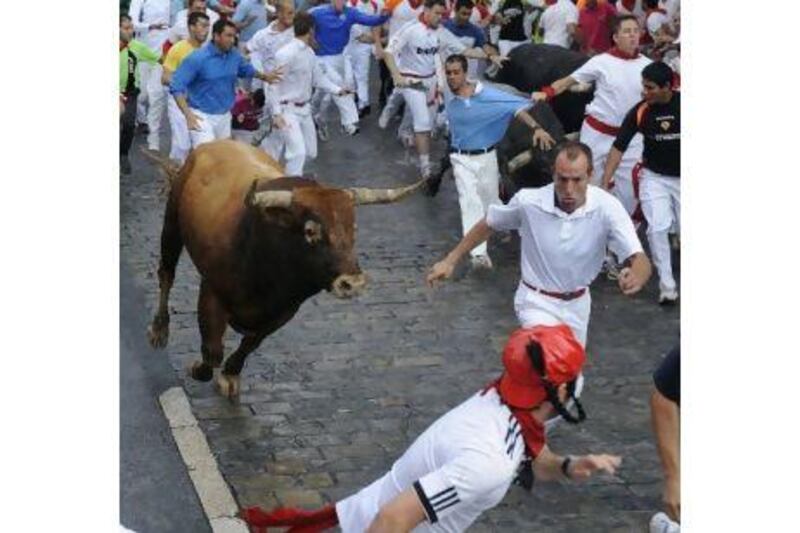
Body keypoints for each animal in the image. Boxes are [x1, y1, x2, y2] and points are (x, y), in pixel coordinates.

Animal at [145, 139, 422, 396]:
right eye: (310, 231)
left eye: (353, 228)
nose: (352, 283)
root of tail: (214, 144)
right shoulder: (212, 291)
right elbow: (212, 352)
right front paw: (197, 369)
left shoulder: (284, 312)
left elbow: (250, 344)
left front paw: (230, 374)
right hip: (172, 224)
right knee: (166, 274)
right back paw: (159, 330)